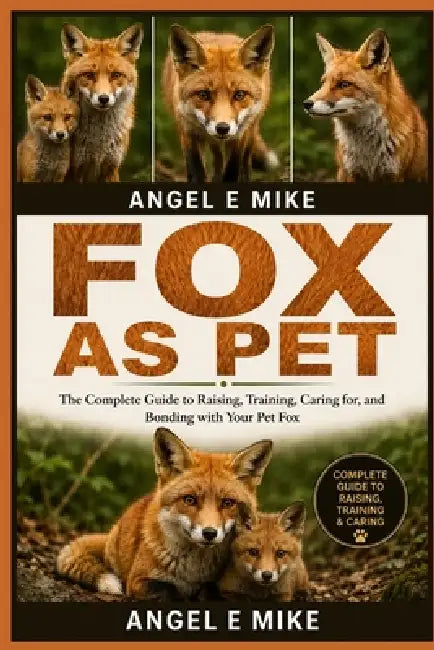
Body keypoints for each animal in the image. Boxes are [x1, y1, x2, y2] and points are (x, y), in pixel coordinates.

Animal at [57, 428, 272, 600]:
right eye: (189, 500)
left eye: (228, 503)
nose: (209, 533)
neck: (194, 571)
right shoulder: (138, 580)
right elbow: (171, 592)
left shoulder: (218, 584)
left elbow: (210, 592)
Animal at [60, 22, 143, 182]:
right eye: (89, 75)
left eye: (116, 75)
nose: (103, 99)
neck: (99, 143)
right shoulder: (73, 170)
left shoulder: (111, 167)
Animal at [162, 24, 278, 182]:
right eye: (203, 94)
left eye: (239, 94)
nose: (222, 128)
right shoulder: (187, 133)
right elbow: (197, 172)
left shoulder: (239, 136)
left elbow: (232, 172)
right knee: (217, 160)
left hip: (251, 129)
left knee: (245, 163)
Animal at [303, 29, 428, 182]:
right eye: (323, 83)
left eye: (344, 84)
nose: (306, 104)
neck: (368, 153)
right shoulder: (351, 173)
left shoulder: (394, 175)